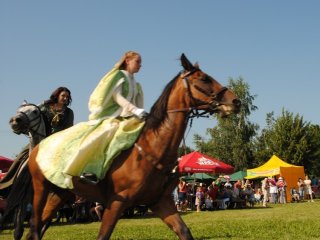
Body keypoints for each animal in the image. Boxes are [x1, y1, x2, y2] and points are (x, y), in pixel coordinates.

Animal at [12, 53, 241, 239]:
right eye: (204, 78)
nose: (236, 101)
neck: (153, 147)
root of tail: (39, 147)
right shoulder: (116, 203)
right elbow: (103, 236)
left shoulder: (161, 202)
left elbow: (184, 232)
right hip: (41, 189)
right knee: (34, 227)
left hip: (60, 194)